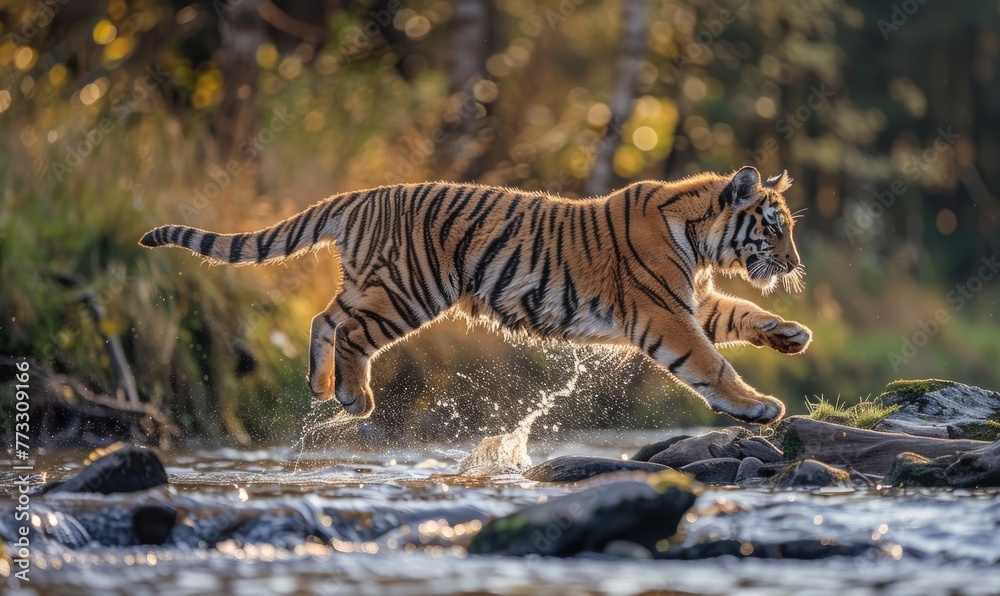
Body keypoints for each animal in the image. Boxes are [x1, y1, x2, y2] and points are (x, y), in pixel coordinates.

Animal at [139, 165, 811, 424]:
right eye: (774, 227)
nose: (797, 264)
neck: (701, 243)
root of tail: (360, 195)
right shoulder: (665, 312)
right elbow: (711, 364)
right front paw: (758, 406)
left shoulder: (687, 300)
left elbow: (743, 312)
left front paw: (791, 333)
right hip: (409, 291)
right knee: (352, 333)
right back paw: (355, 398)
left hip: (369, 283)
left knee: (322, 320)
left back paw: (320, 386)